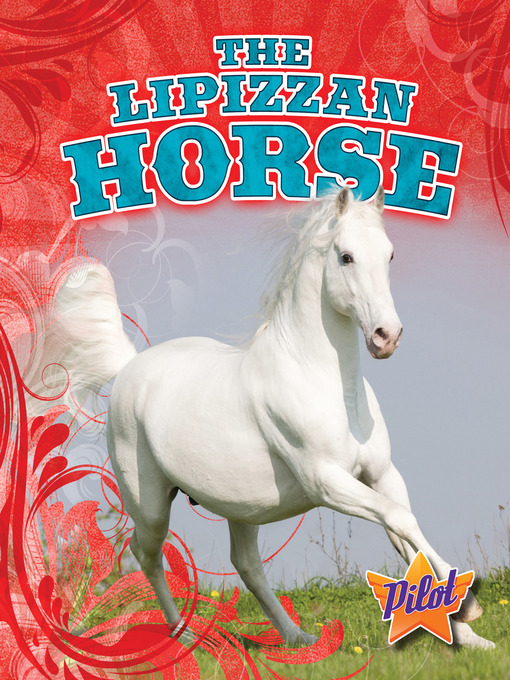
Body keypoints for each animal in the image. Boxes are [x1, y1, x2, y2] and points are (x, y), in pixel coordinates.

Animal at [36, 187, 494, 649]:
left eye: (390, 255)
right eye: (346, 257)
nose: (387, 337)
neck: (329, 387)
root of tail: (130, 366)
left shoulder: (382, 474)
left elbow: (404, 530)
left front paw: (471, 638)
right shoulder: (326, 482)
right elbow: (400, 519)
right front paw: (472, 608)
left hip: (241, 507)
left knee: (247, 565)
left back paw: (298, 637)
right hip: (148, 501)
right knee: (145, 554)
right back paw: (184, 637)